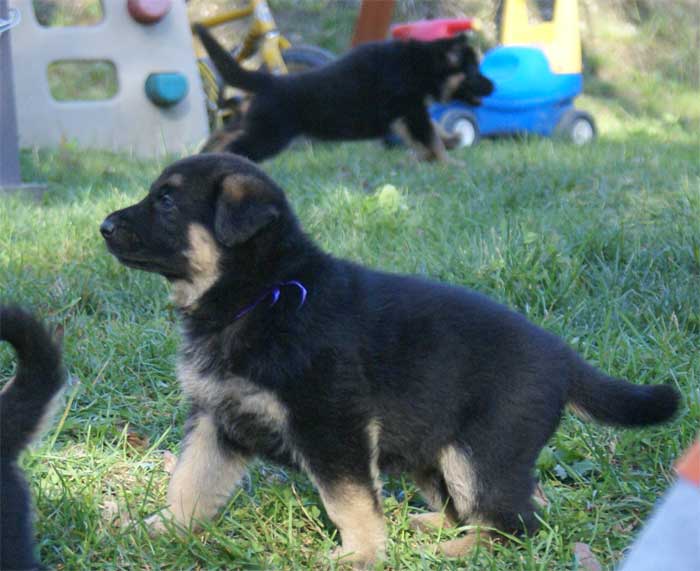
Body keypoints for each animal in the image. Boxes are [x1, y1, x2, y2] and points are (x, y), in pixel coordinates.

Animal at [101, 154, 680, 568]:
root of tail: (563, 357)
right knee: (484, 505)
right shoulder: (217, 418)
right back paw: (429, 528)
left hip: (480, 452)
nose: (103, 225)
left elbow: (348, 498)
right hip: (433, 449)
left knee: (517, 523)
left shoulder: (331, 424)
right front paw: (162, 529)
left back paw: (457, 551)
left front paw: (359, 554)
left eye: (167, 201)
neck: (263, 293)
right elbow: (190, 481)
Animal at [194, 24, 494, 163]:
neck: (419, 64)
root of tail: (267, 81)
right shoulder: (411, 110)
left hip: (250, 124)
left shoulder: (407, 113)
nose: (493, 86)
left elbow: (433, 131)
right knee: (233, 147)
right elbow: (430, 136)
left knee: (219, 137)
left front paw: (449, 143)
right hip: (268, 136)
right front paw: (450, 163)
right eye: (473, 71)